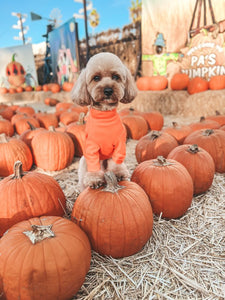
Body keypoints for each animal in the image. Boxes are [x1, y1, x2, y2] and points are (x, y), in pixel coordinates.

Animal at [71, 52, 137, 191]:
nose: (108, 90)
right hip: (83, 161)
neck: (105, 116)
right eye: (96, 77)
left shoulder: (119, 145)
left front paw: (118, 174)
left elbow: (116, 162)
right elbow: (94, 167)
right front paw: (95, 180)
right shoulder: (91, 149)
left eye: (116, 77)